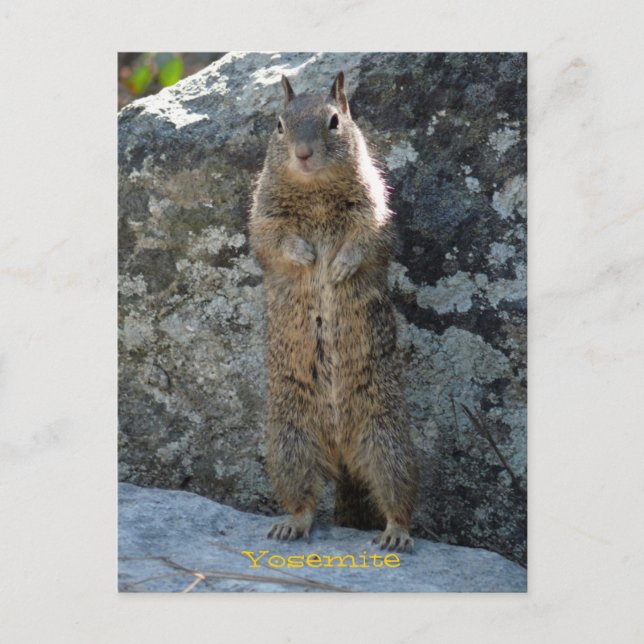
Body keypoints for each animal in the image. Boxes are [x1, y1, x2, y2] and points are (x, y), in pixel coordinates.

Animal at [249, 71, 418, 552]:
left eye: (334, 121)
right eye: (279, 125)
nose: (303, 154)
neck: (315, 191)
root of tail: (341, 454)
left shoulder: (375, 214)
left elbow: (365, 243)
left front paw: (339, 267)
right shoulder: (263, 220)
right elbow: (275, 242)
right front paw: (307, 257)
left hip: (387, 442)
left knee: (398, 496)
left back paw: (395, 533)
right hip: (290, 445)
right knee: (303, 497)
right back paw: (292, 524)